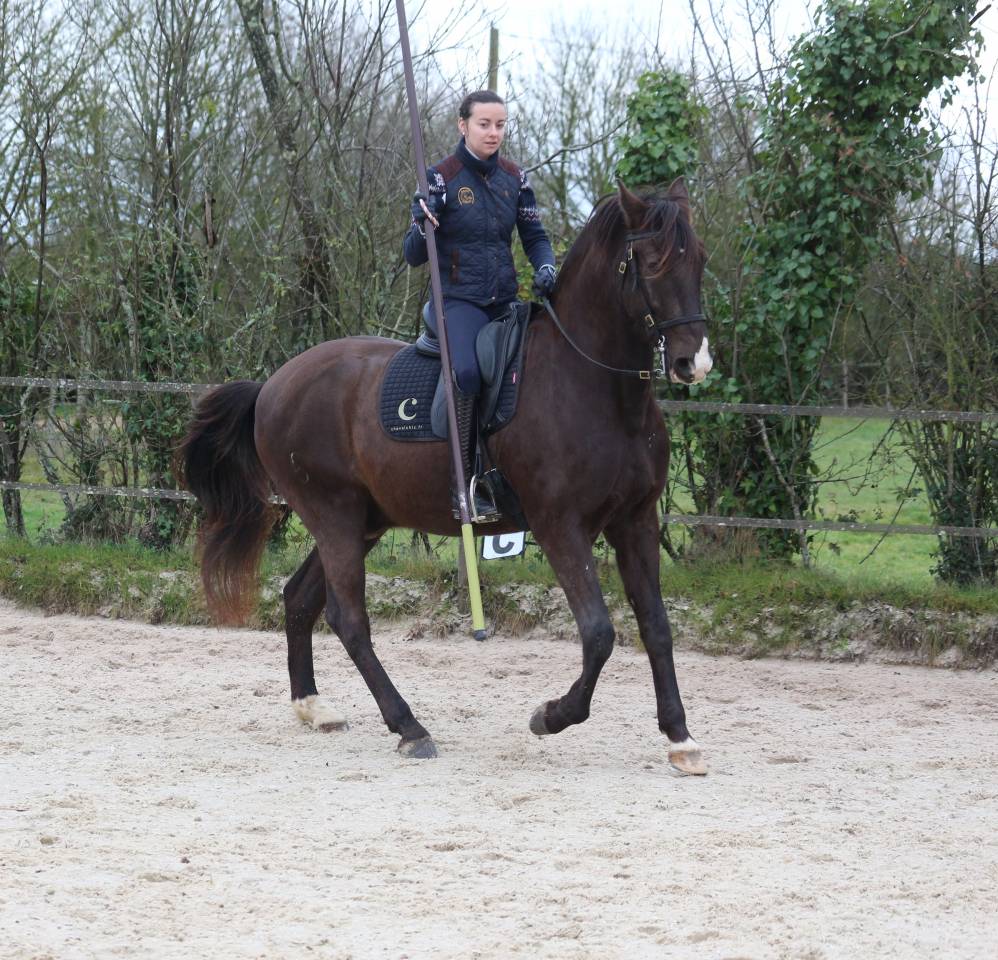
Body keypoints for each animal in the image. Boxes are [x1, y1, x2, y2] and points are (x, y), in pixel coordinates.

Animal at [178, 179, 713, 774]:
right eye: (650, 263)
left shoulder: (636, 522)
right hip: (333, 516)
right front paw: (551, 716)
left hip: (362, 522)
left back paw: (314, 707)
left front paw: (681, 738)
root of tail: (273, 384)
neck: (594, 387)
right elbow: (598, 633)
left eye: (699, 260)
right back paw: (409, 726)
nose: (693, 363)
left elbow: (656, 625)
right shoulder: (561, 526)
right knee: (347, 617)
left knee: (301, 599)